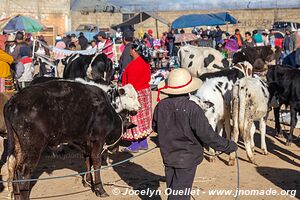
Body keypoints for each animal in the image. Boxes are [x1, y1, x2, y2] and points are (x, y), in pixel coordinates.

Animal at [4, 79, 139, 198]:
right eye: (124, 131)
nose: (115, 150)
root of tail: (13, 101)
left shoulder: (85, 143)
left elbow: (87, 160)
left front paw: (88, 182)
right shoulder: (98, 140)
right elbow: (96, 162)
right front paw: (100, 189)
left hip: (17, 146)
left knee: (14, 170)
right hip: (33, 148)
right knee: (23, 173)